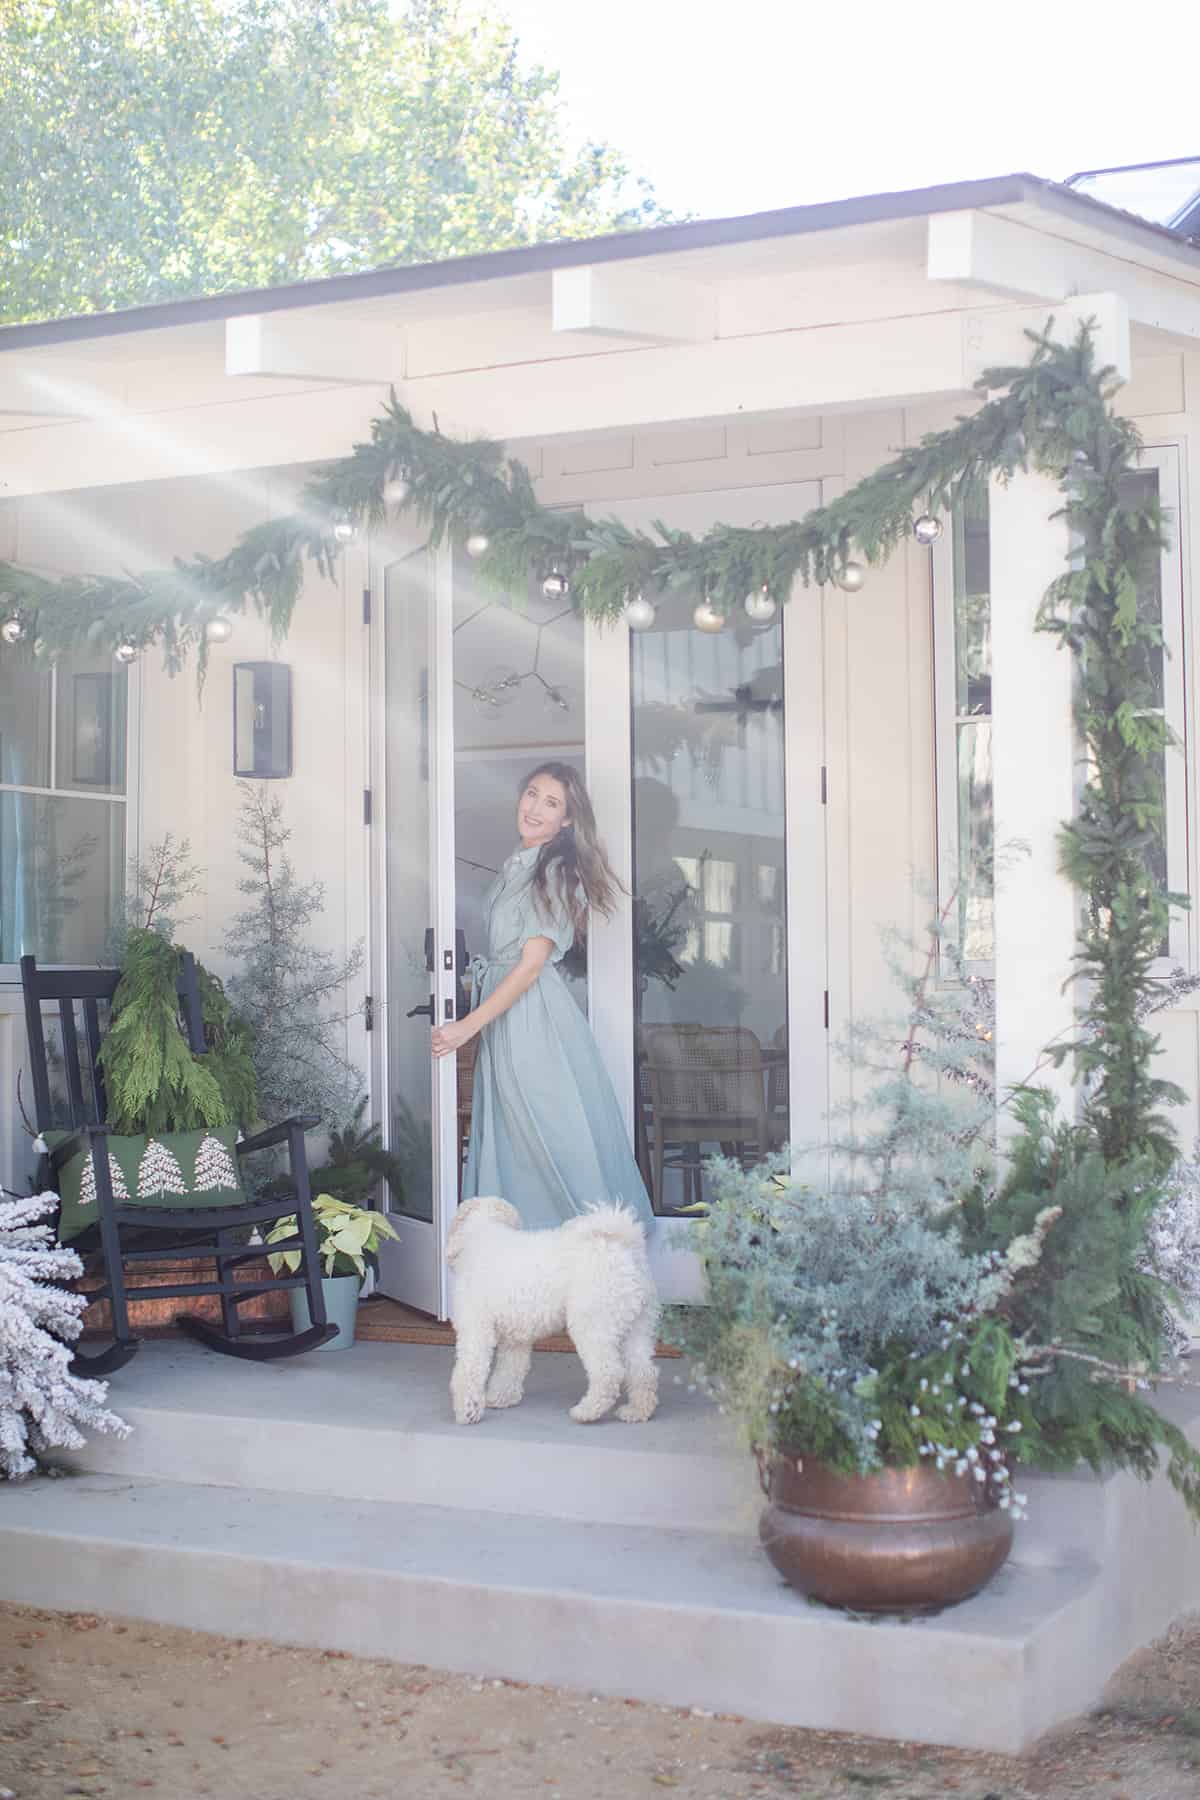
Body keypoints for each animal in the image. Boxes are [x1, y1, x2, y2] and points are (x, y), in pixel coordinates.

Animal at [447, 1202, 662, 1425]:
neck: (482, 1234)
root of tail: (622, 1245)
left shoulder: (476, 1331)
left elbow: (469, 1370)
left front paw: (467, 1411)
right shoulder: (515, 1339)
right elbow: (510, 1368)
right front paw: (501, 1398)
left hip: (593, 1326)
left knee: (609, 1374)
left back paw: (586, 1412)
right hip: (637, 1326)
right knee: (643, 1371)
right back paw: (636, 1411)